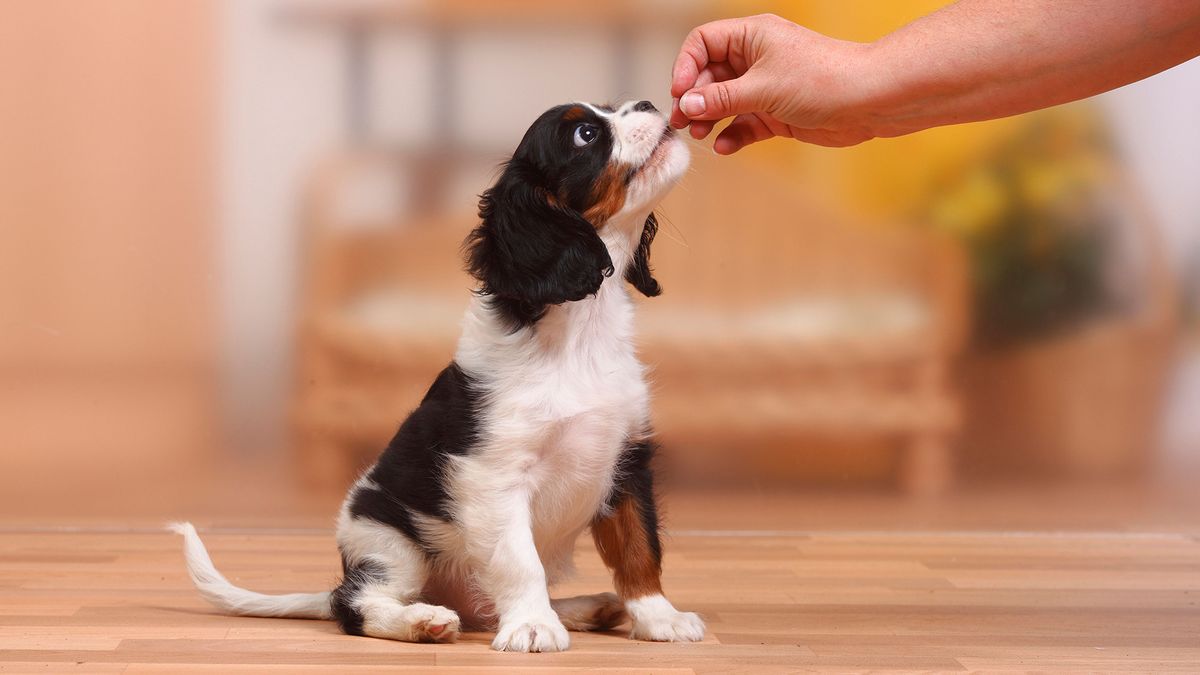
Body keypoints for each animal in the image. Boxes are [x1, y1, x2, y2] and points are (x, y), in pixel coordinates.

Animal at [177, 97, 700, 648]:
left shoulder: (627, 459)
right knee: (355, 604)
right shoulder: (493, 476)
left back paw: (584, 608)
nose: (648, 102)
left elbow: (639, 548)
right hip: (390, 544)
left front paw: (658, 617)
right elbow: (520, 561)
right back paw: (422, 620)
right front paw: (533, 626)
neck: (580, 330)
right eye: (585, 134)